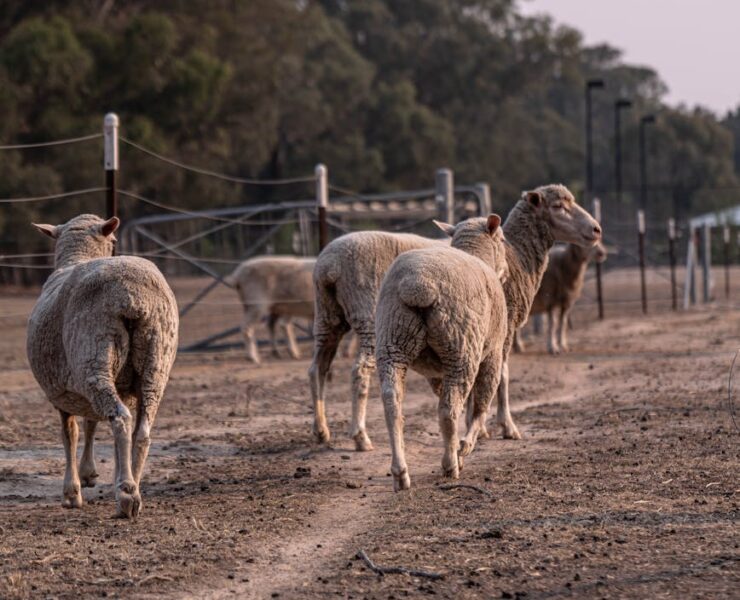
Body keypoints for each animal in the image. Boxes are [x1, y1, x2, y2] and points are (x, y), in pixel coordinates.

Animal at [26, 214, 178, 518]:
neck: (78, 255)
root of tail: (132, 298)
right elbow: (92, 423)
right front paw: (92, 474)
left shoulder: (61, 392)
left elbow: (70, 434)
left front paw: (72, 492)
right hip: (154, 363)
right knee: (140, 431)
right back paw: (131, 484)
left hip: (93, 356)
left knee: (121, 419)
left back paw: (127, 494)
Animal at [308, 231, 447, 451]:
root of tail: (330, 264)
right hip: (369, 313)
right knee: (360, 370)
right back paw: (360, 436)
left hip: (326, 313)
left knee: (317, 368)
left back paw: (321, 430)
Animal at [375, 215, 509, 491]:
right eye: (502, 239)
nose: (509, 270)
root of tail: (418, 284)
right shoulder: (493, 351)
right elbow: (481, 404)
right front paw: (465, 447)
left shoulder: (434, 372)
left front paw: (460, 447)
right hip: (462, 347)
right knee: (449, 409)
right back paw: (450, 465)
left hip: (392, 338)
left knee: (393, 403)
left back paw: (400, 473)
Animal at [493, 185, 602, 440]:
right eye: (558, 206)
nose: (596, 229)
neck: (516, 254)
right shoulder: (505, 325)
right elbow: (502, 374)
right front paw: (507, 426)